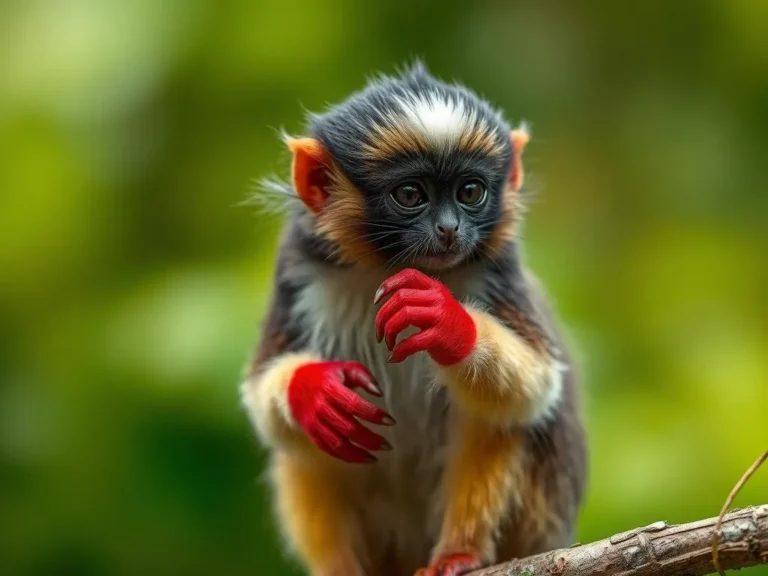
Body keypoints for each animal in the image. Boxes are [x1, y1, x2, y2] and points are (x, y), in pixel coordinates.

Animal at [242, 63, 588, 576]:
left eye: (470, 192)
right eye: (410, 194)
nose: (449, 229)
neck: (386, 266)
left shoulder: (499, 271)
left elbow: (536, 387)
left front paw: (446, 322)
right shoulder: (297, 273)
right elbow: (261, 398)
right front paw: (313, 390)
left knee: (496, 421)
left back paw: (458, 554)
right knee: (306, 448)